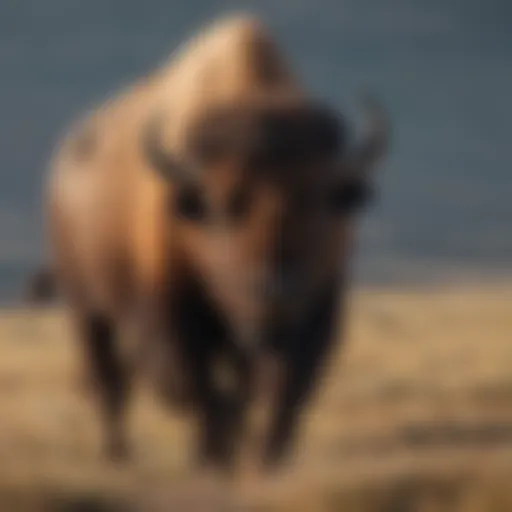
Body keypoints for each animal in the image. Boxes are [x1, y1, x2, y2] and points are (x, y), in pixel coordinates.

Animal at [29, 14, 388, 472]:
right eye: (222, 205)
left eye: (317, 197)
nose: (273, 291)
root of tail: (62, 168)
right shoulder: (174, 316)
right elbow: (198, 386)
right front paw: (213, 457)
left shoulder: (315, 310)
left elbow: (284, 393)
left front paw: (263, 460)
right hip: (87, 308)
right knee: (110, 382)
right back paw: (118, 454)